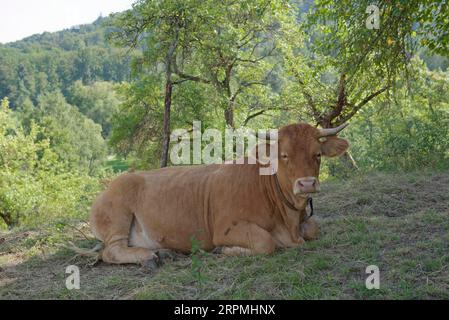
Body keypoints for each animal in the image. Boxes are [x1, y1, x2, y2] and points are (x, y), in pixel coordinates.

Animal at [89, 122, 348, 268]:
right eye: (284, 155)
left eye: (317, 154)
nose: (307, 184)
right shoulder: (225, 229)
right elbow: (266, 242)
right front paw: (223, 251)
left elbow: (314, 228)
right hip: (117, 217)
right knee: (110, 251)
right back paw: (148, 258)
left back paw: (163, 252)